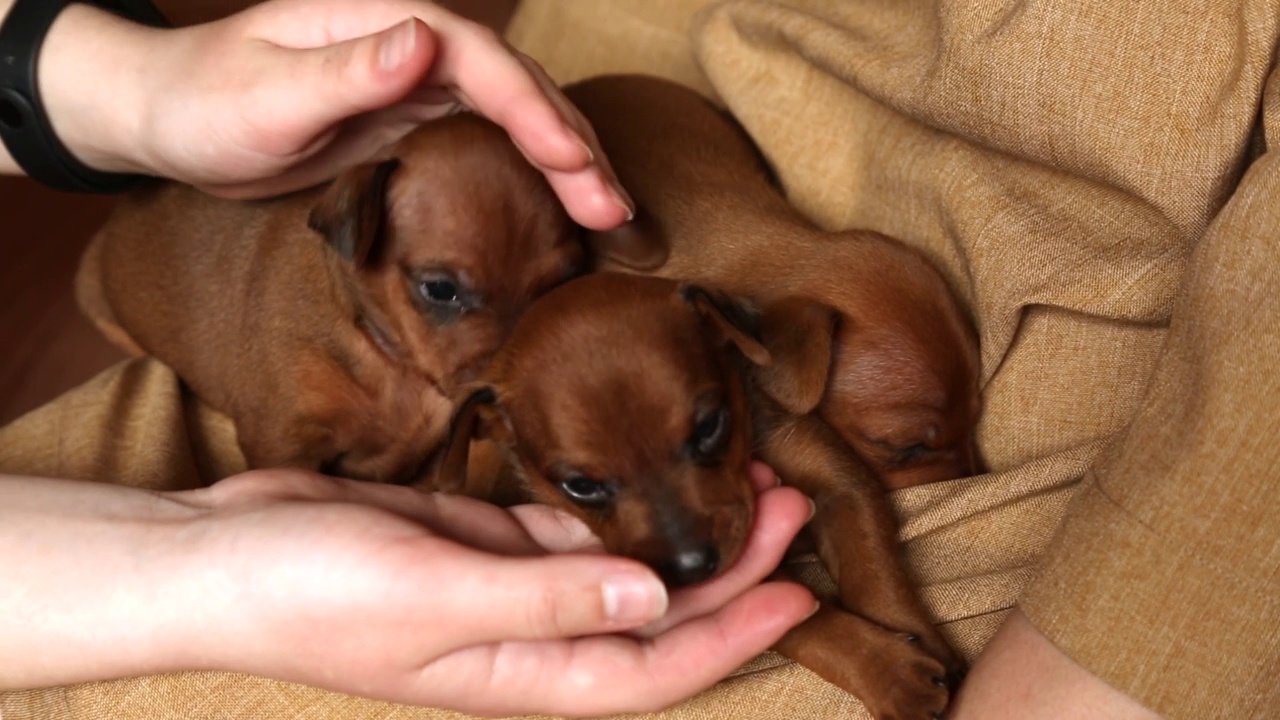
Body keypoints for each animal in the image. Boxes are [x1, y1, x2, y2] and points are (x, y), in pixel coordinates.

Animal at [437, 270, 962, 717]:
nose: (691, 568)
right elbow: (810, 622)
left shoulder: (839, 486)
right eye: (580, 486)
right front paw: (890, 674)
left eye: (709, 426)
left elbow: (875, 572)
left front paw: (922, 648)